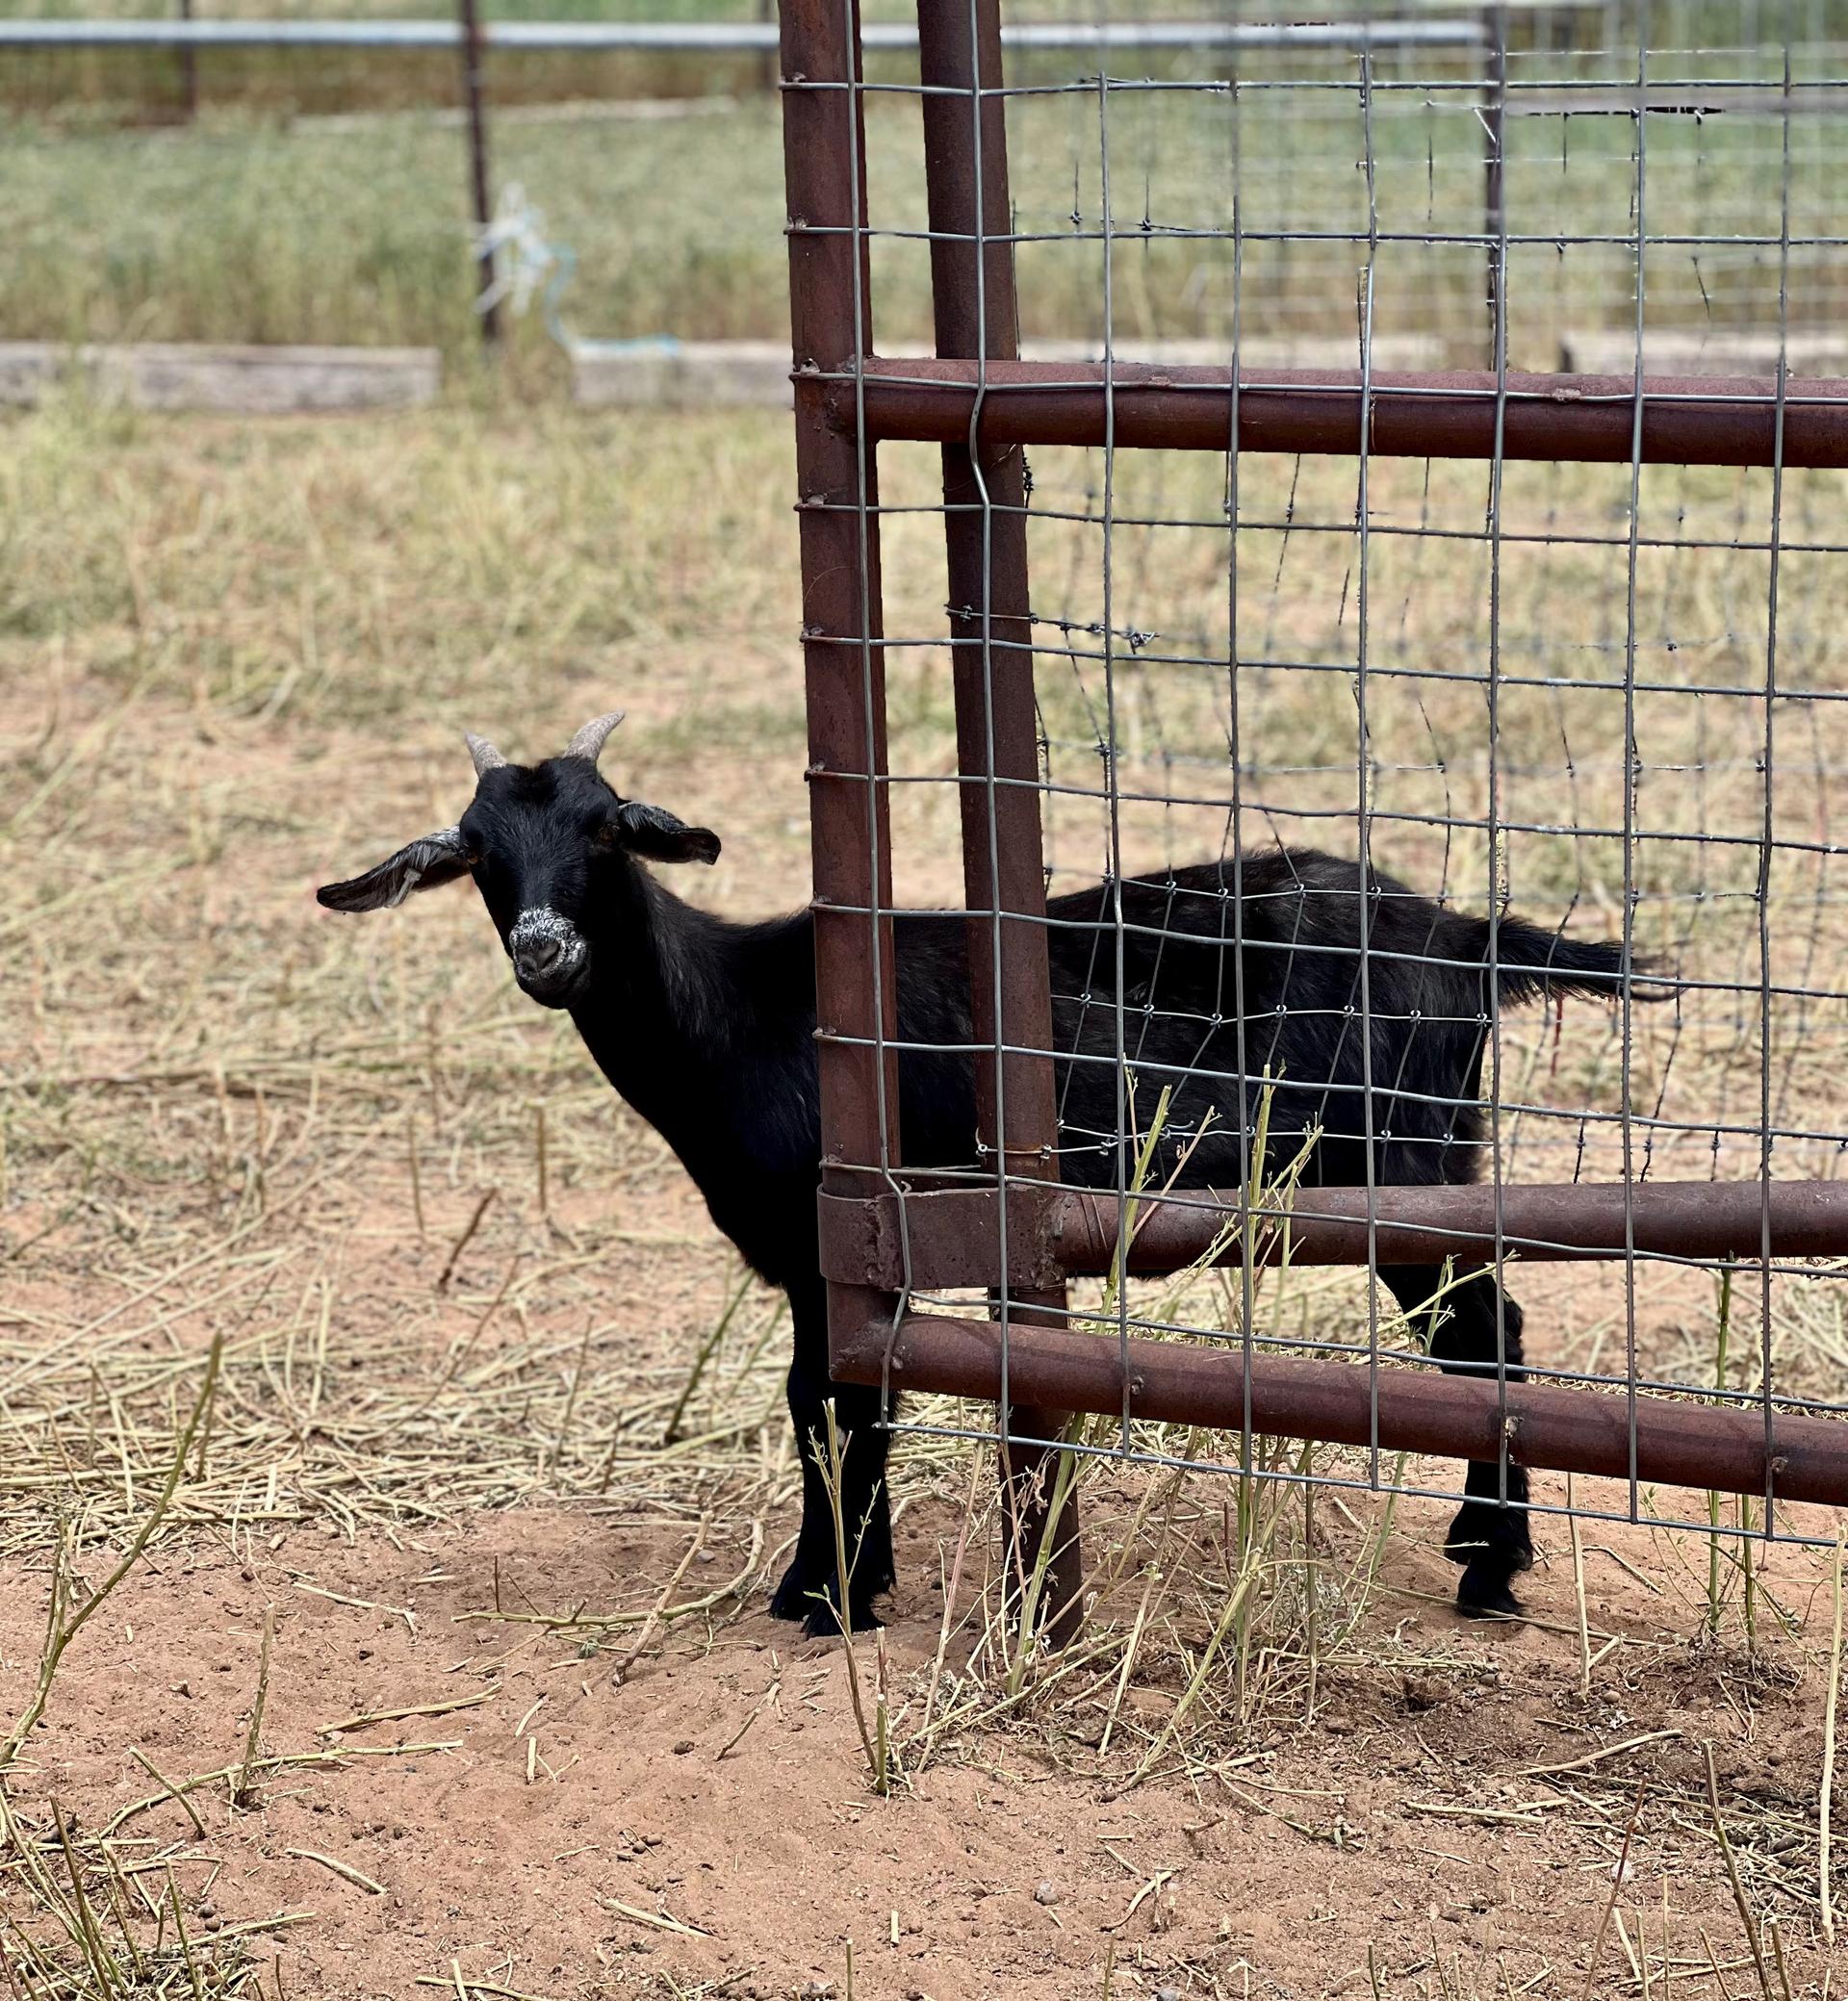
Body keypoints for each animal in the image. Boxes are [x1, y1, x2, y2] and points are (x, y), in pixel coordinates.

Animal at [318, 713, 1625, 1631]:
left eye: (603, 830)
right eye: (476, 853)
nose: (546, 952)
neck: (740, 1015)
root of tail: (1465, 937)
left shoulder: (830, 1242)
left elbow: (832, 1403)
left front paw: (826, 1597)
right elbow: (840, 1403)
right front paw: (856, 1578)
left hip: (1399, 1158)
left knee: (1484, 1332)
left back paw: (1490, 1566)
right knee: (1485, 1330)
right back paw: (1485, 1552)